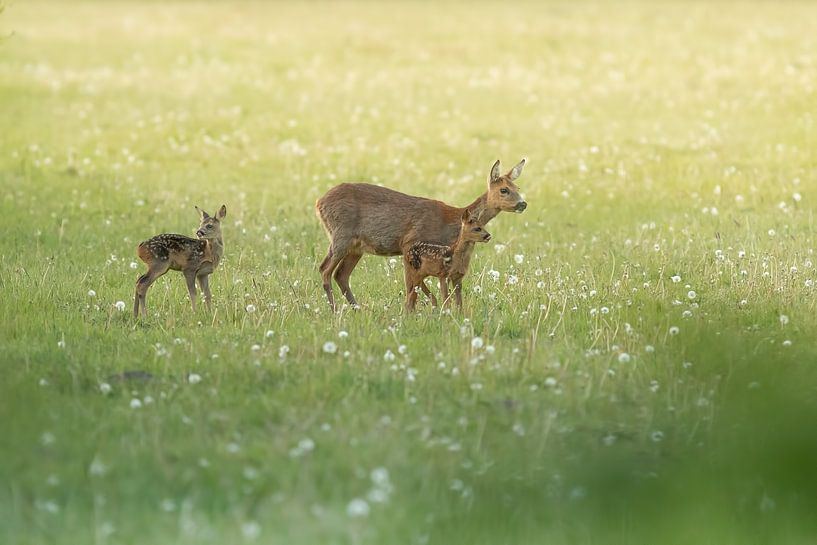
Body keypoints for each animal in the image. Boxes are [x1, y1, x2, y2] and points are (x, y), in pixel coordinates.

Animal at [315, 158, 527, 311]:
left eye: (518, 188)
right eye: (504, 190)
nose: (523, 203)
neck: (450, 222)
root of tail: (319, 203)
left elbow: (419, 287)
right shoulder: (409, 243)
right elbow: (412, 287)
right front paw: (414, 312)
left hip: (356, 247)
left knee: (341, 275)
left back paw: (357, 309)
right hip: (341, 236)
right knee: (325, 269)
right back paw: (334, 310)